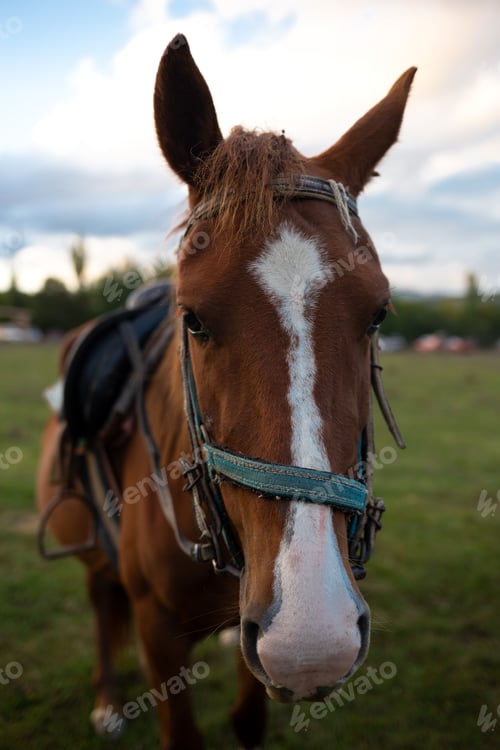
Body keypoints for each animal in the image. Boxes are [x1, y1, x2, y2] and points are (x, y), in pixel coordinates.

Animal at [36, 33, 415, 750]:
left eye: (379, 313)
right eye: (192, 318)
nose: (311, 639)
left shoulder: (255, 627)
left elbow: (246, 718)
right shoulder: (159, 635)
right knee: (101, 605)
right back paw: (106, 702)